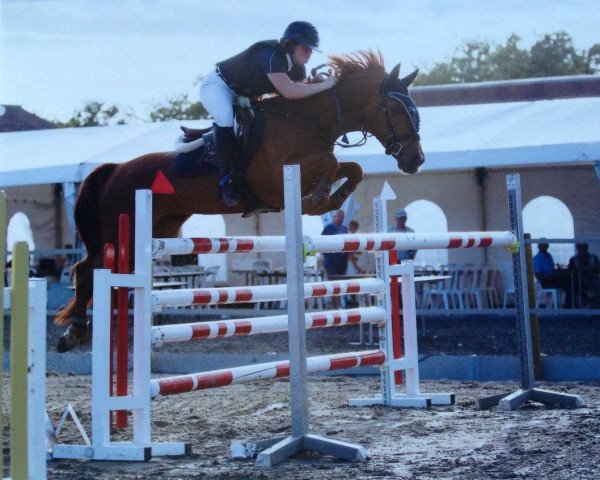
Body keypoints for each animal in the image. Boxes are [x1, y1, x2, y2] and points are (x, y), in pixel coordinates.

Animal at [54, 51, 424, 352]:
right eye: (396, 108)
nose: (416, 160)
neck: (306, 121)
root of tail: (115, 169)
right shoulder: (276, 179)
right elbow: (331, 164)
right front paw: (317, 200)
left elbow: (353, 168)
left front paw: (331, 199)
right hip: (120, 232)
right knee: (85, 269)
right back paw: (73, 333)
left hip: (153, 233)